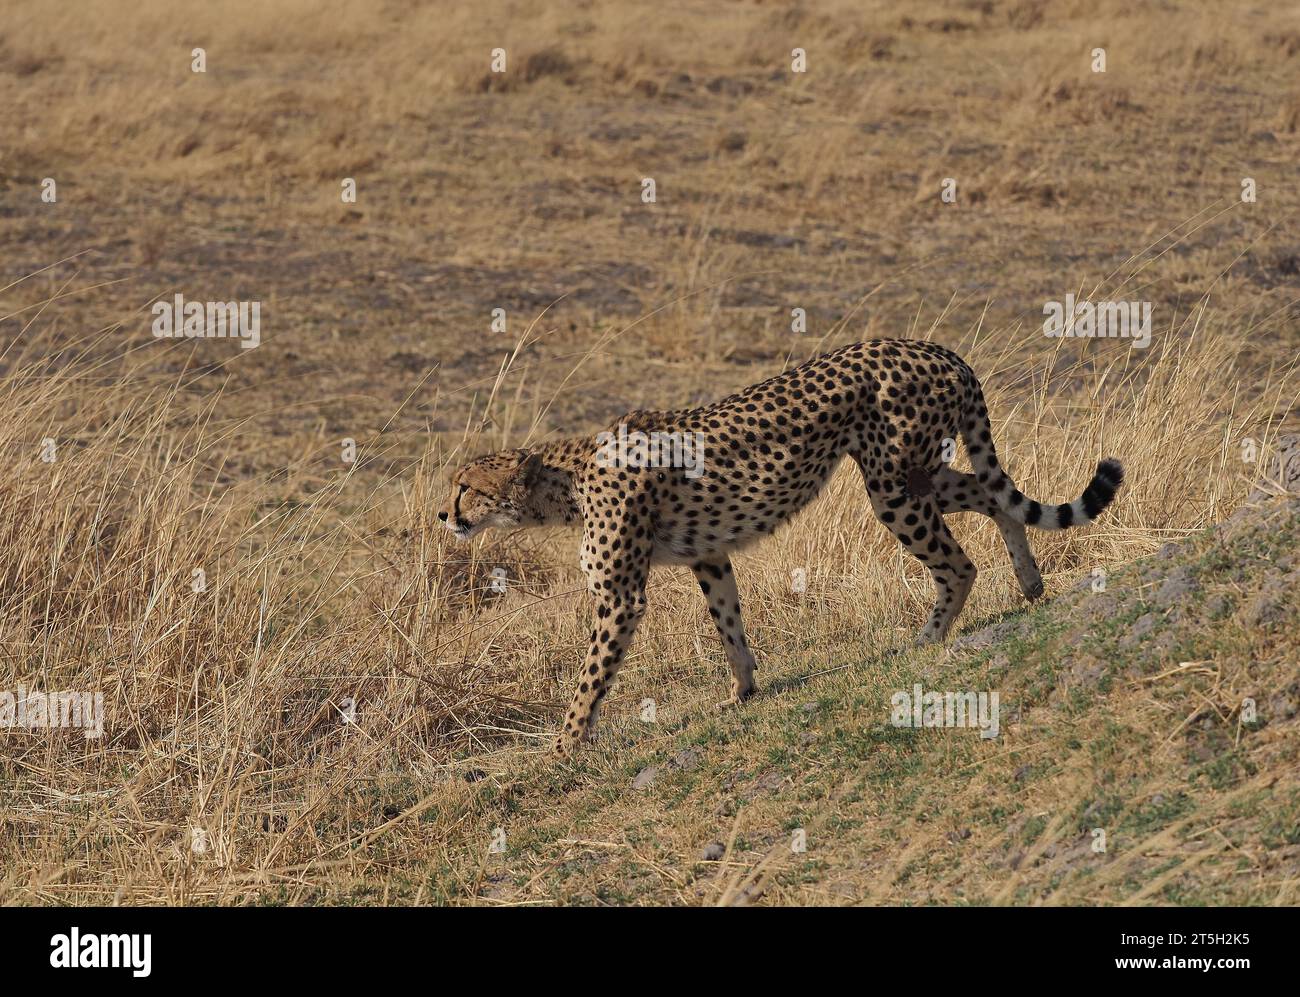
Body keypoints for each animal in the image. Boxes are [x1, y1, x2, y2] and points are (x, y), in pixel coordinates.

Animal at [441, 337, 1123, 759]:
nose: (445, 516)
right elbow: (729, 623)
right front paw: (742, 692)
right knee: (991, 493)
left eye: (466, 487)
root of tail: (932, 347)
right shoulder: (707, 554)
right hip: (920, 472)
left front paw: (564, 744)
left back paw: (928, 638)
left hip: (894, 485)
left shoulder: (620, 596)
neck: (565, 480)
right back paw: (1030, 583)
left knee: (957, 562)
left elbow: (591, 675)